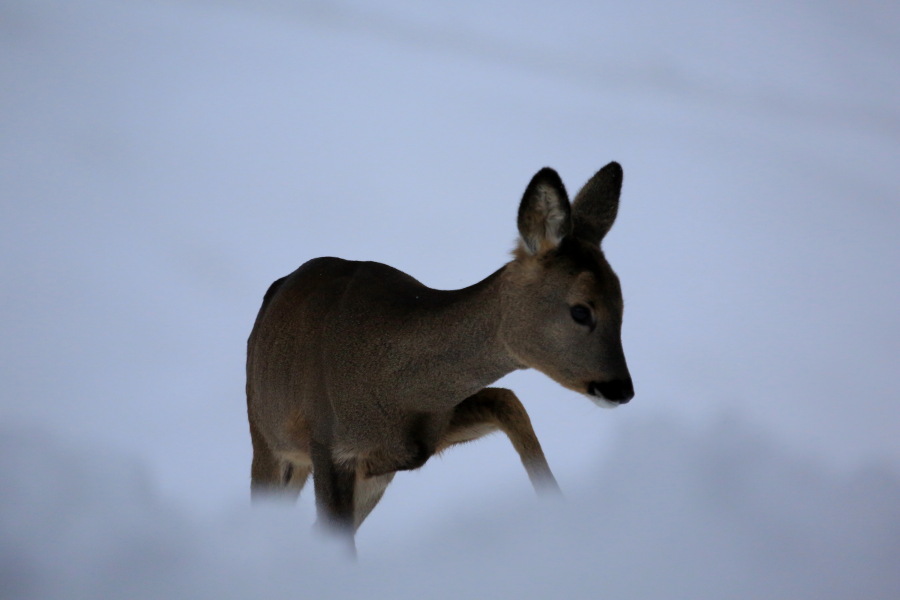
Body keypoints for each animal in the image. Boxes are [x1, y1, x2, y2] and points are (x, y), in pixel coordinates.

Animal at [244, 162, 632, 552]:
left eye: (622, 304)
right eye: (581, 310)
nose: (622, 389)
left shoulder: (424, 434)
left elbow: (509, 403)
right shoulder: (328, 442)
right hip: (266, 437)